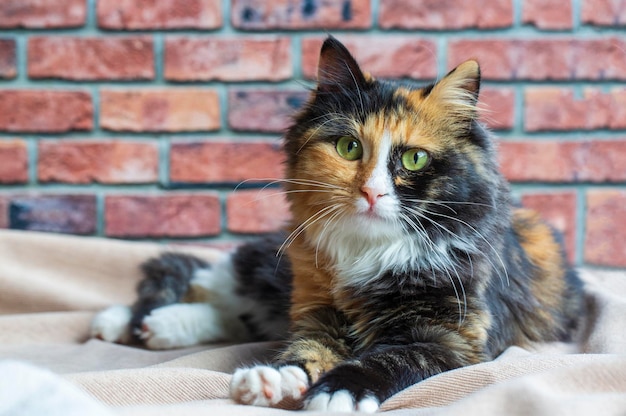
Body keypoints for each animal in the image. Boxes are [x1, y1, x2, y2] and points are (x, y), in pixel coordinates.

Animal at [90, 36, 584, 412]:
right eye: (349, 148)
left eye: (414, 159)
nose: (371, 193)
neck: (372, 254)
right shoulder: (316, 314)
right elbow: (303, 351)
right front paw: (274, 379)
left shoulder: (452, 340)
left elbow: (384, 361)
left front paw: (336, 392)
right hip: (270, 267)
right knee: (207, 282)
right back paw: (124, 322)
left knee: (233, 311)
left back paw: (159, 327)